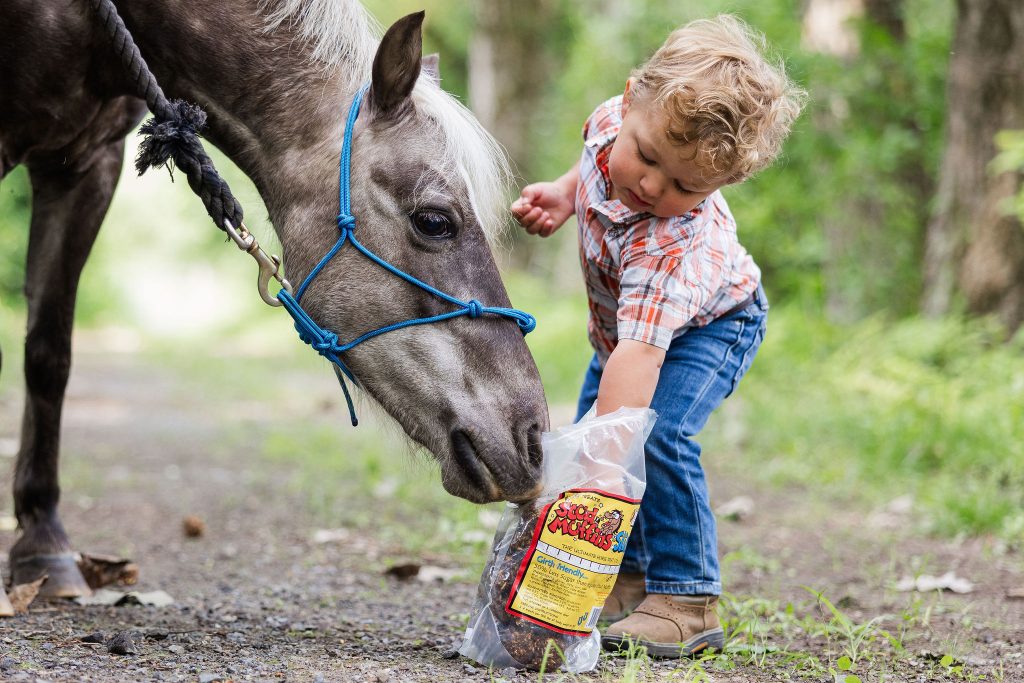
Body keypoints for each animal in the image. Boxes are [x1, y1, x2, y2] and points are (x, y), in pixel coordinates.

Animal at [0, 0, 548, 601]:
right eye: (433, 221)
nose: (533, 441)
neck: (102, 24)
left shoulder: (88, 163)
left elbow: (49, 357)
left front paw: (43, 544)